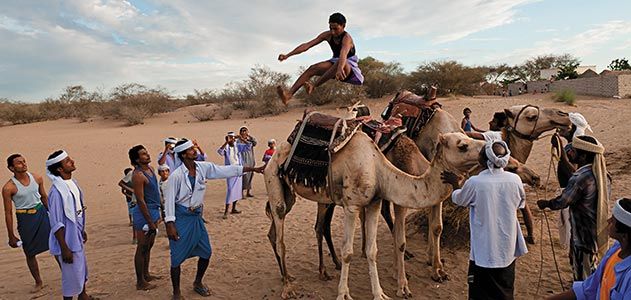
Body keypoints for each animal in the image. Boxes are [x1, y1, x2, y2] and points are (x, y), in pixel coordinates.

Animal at [264, 132, 486, 300]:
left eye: (467, 137)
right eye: (463, 145)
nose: (487, 149)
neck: (377, 169)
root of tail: (273, 156)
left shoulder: (374, 203)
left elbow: (372, 251)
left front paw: (380, 294)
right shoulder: (352, 205)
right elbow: (348, 252)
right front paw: (344, 294)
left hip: (292, 194)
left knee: (276, 233)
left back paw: (293, 276)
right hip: (273, 179)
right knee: (282, 235)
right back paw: (288, 288)